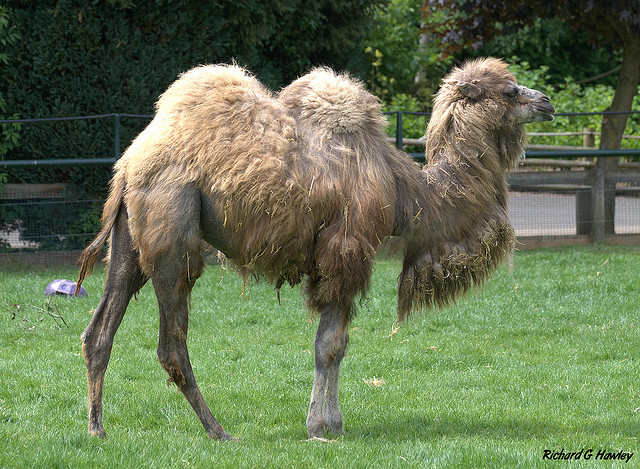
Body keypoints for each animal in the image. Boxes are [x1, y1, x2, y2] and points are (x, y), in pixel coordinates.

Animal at [76, 57, 556, 438]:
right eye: (510, 91)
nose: (547, 102)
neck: (406, 191)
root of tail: (130, 162)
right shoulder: (347, 250)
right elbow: (329, 344)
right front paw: (320, 428)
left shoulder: (340, 259)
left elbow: (336, 345)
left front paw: (333, 423)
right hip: (172, 226)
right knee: (171, 343)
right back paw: (218, 430)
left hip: (129, 237)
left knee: (100, 328)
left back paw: (98, 428)